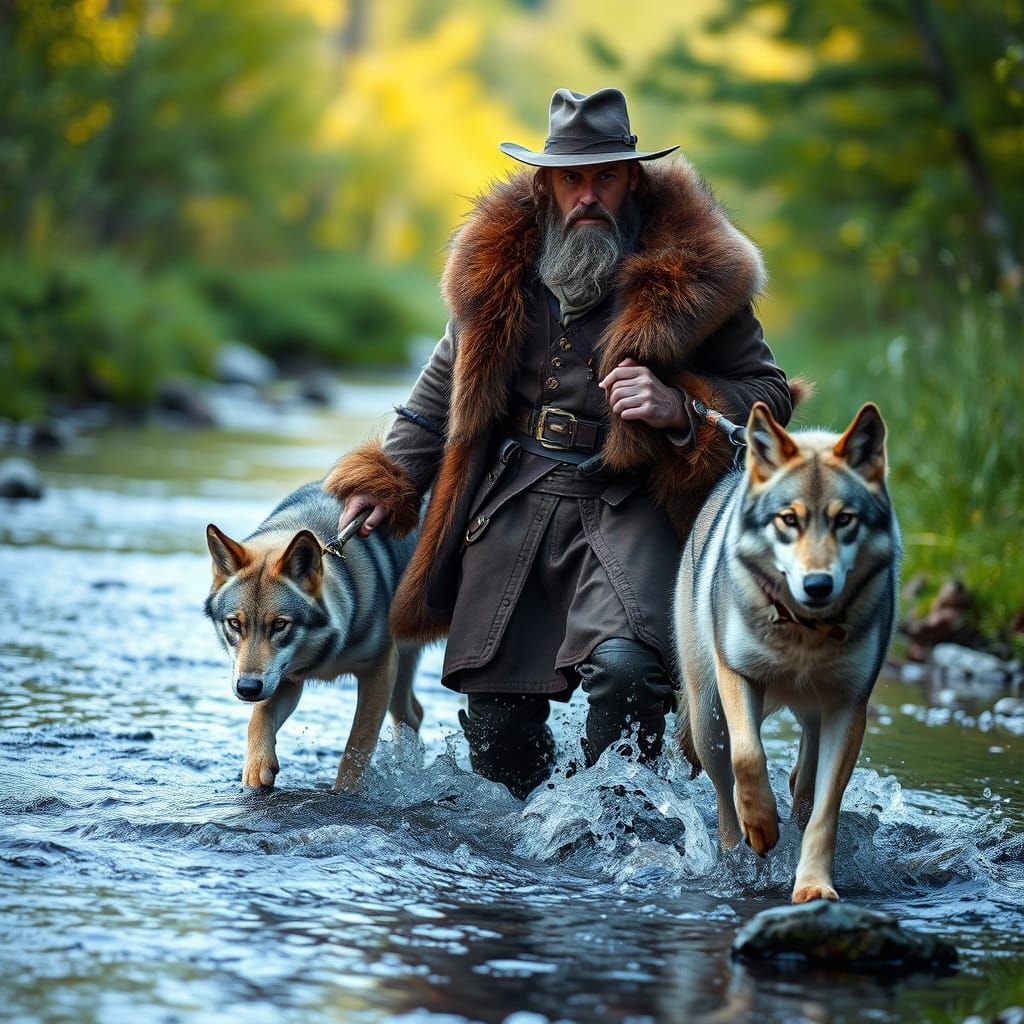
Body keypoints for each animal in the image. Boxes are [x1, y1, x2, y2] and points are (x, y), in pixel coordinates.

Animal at [204, 482, 422, 792]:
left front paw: (346, 792)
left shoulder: (380, 667)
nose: (247, 688)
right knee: (416, 713)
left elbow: (358, 743)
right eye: (235, 624)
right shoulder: (286, 680)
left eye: (280, 625)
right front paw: (257, 767)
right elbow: (258, 717)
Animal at [673, 401, 900, 903]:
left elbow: (826, 811)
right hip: (707, 717)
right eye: (788, 519)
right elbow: (748, 758)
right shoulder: (737, 676)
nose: (817, 585)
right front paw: (760, 829)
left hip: (815, 713)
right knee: (723, 789)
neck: (803, 632)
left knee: (805, 781)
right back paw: (735, 856)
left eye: (845, 520)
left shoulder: (849, 706)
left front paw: (813, 885)